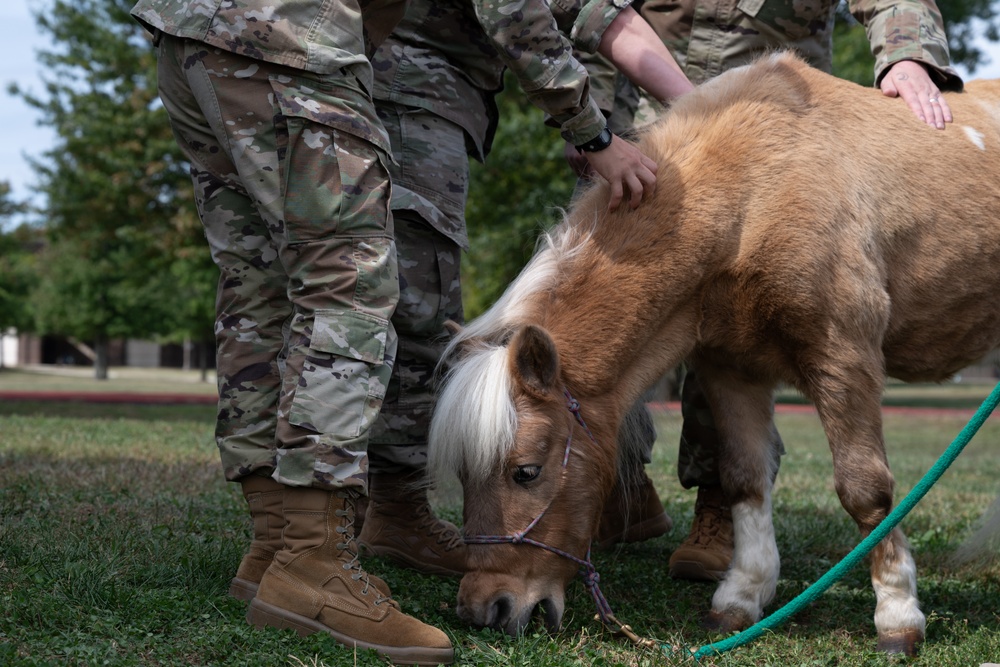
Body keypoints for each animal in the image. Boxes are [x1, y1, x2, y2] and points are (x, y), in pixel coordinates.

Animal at [426, 52, 1000, 656]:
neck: (752, 196)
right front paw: (741, 597)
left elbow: (864, 489)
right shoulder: (731, 367)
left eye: (527, 473)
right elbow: (744, 478)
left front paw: (897, 615)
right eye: (463, 474)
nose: (484, 608)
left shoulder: (843, 354)